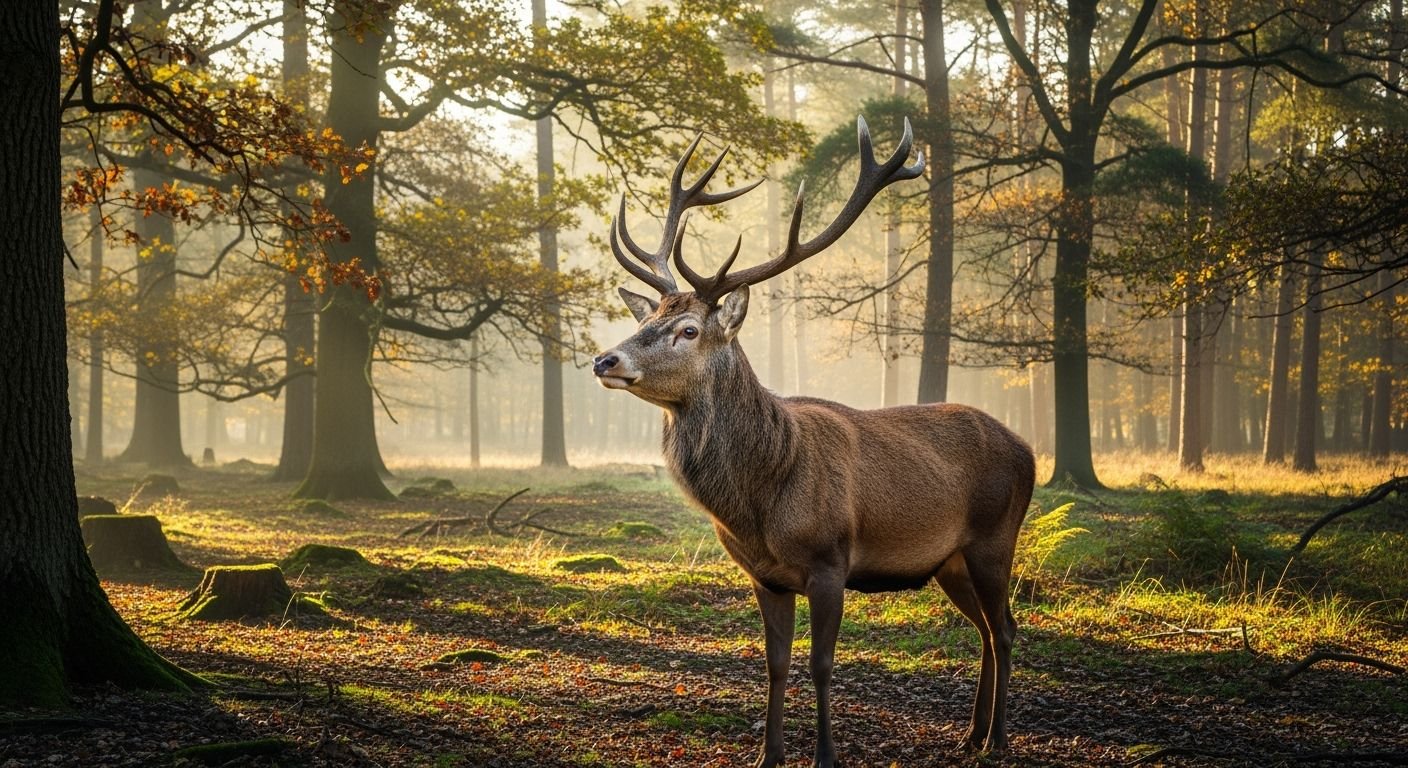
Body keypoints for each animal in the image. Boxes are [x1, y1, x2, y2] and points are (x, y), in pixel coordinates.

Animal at [592, 117, 1035, 767]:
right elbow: (776, 665)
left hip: (995, 538)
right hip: (949, 560)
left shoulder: (831, 560)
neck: (761, 502)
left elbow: (822, 665)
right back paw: (972, 734)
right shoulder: (765, 575)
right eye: (645, 320)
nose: (606, 358)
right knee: (983, 628)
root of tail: (1028, 450)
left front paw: (826, 754)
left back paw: (998, 737)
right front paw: (768, 754)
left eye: (688, 329)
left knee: (1004, 627)